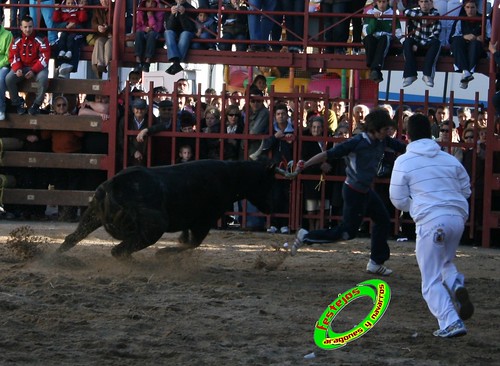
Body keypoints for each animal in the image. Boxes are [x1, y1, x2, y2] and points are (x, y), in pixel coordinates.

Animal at [57, 159, 286, 258]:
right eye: (269, 182)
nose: (273, 206)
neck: (232, 175)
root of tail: (114, 184)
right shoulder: (204, 220)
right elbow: (192, 243)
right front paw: (164, 253)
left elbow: (186, 240)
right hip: (154, 228)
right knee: (118, 250)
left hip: (93, 213)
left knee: (73, 237)